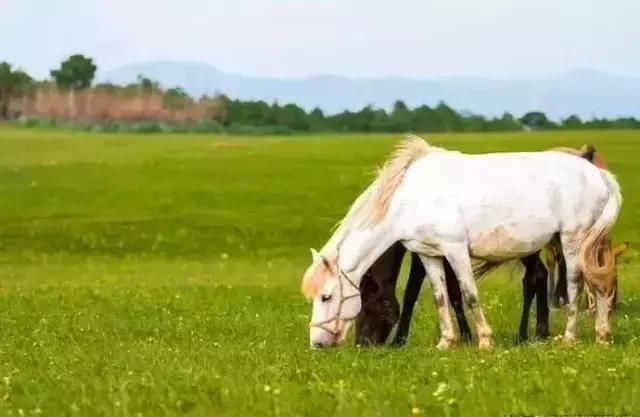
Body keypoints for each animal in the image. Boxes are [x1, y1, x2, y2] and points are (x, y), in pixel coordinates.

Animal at [302, 136, 624, 348]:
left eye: (326, 297)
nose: (317, 342)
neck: (409, 198)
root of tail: (598, 173)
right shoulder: (429, 255)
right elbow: (439, 296)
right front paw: (447, 342)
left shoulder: (455, 249)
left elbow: (468, 294)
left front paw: (484, 341)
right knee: (597, 283)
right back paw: (601, 336)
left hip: (573, 241)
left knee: (575, 285)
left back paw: (569, 338)